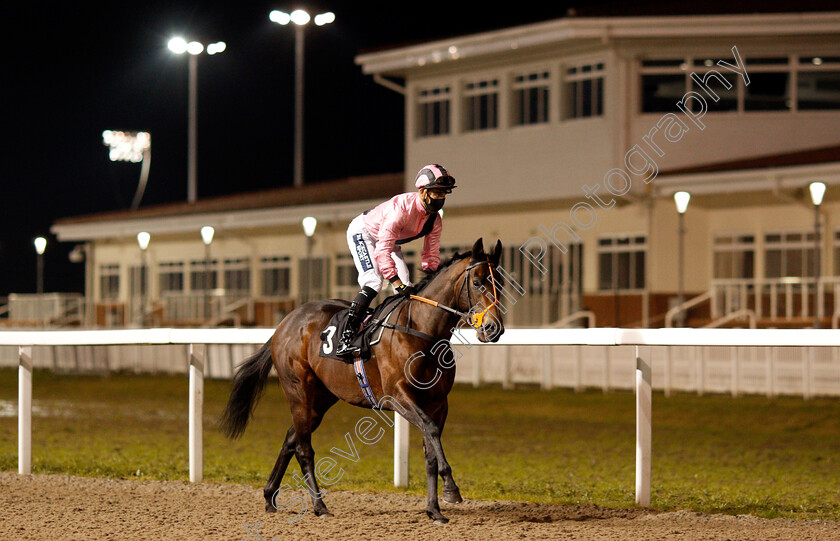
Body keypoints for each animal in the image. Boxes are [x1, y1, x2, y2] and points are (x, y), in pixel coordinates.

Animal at [218, 237, 506, 524]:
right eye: (477, 282)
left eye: (501, 283)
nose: (494, 329)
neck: (422, 330)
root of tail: (285, 322)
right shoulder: (398, 395)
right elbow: (431, 430)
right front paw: (451, 489)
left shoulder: (438, 402)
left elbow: (430, 450)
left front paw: (434, 509)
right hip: (298, 390)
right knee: (303, 448)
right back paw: (319, 506)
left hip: (322, 398)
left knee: (292, 438)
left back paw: (270, 495)